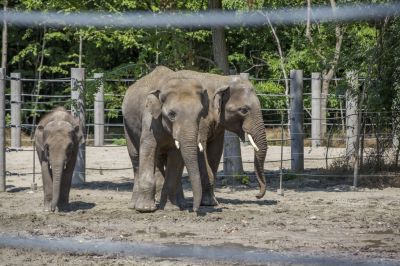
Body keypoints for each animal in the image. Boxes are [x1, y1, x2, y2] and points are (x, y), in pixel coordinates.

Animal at [123, 66, 208, 212]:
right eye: (172, 114)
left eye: (200, 114)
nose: (195, 209)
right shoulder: (149, 117)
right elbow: (148, 148)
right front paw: (145, 209)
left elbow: (176, 156)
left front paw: (171, 209)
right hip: (126, 124)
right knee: (136, 158)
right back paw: (134, 205)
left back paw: (180, 204)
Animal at [171, 70, 268, 206]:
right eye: (244, 110)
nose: (257, 195)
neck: (221, 80)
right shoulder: (200, 118)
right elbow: (200, 149)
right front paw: (208, 203)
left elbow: (215, 151)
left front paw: (211, 202)